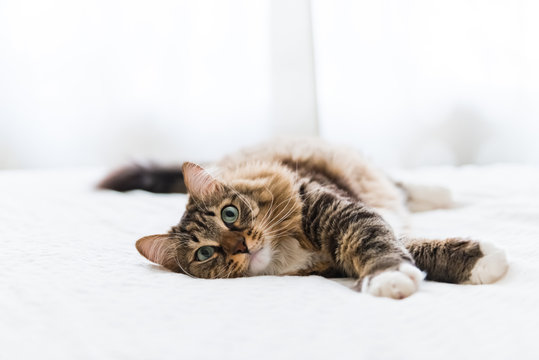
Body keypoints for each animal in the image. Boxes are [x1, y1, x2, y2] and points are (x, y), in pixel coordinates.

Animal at [99, 138, 508, 298]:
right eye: (205, 254)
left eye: (229, 213)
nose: (241, 245)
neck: (286, 251)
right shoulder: (336, 258)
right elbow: (409, 247)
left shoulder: (340, 211)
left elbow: (378, 240)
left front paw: (387, 276)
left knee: (399, 186)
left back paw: (441, 191)